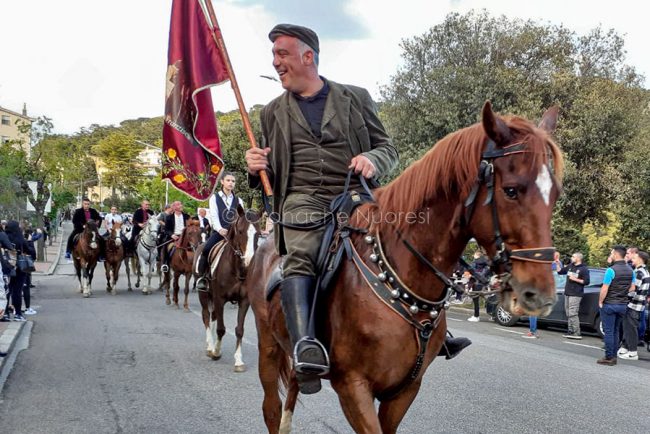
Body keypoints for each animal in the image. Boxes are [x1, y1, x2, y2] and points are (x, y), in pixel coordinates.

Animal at [197, 206, 260, 372]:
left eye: (258, 234)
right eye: (240, 231)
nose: (249, 261)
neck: (236, 268)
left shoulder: (244, 301)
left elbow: (239, 330)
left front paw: (238, 361)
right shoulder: (220, 299)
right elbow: (221, 328)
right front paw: (216, 352)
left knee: (212, 317)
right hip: (203, 295)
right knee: (206, 316)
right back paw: (210, 347)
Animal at [247, 102, 564, 433]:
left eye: (555, 193)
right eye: (511, 190)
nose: (540, 295)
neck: (399, 278)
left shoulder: (405, 389)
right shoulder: (352, 387)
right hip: (267, 345)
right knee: (271, 407)